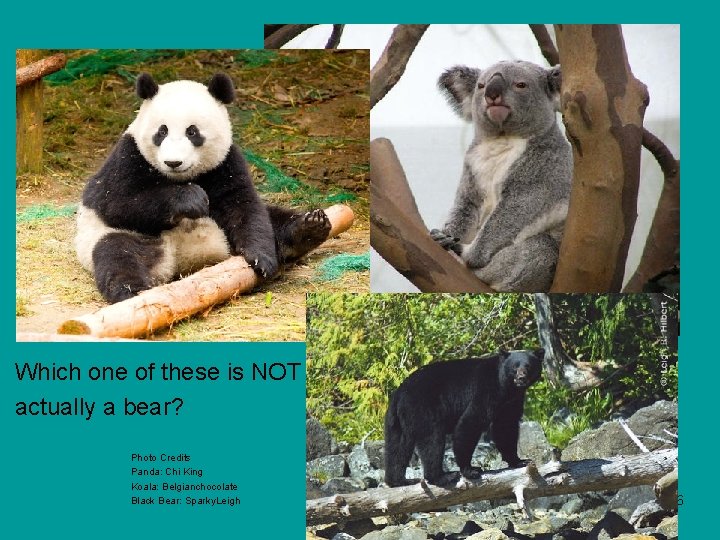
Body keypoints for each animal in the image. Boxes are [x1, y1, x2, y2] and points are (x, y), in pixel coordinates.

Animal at [75, 72, 332, 303]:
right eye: (162, 131)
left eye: (192, 131)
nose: (173, 162)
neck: (179, 177)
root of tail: (183, 260)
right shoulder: (128, 157)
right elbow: (117, 202)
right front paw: (192, 199)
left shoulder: (225, 162)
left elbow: (243, 205)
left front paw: (261, 258)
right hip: (120, 236)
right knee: (118, 255)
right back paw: (132, 292)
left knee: (273, 217)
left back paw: (309, 228)